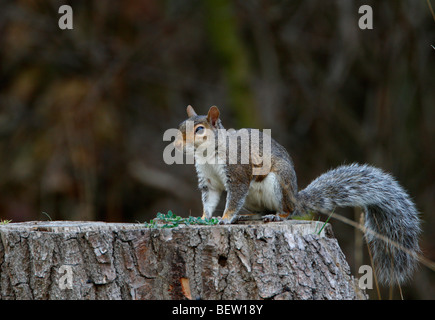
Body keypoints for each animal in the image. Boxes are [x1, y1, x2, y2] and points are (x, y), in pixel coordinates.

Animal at [175, 105, 422, 284]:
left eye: (199, 130)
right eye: (180, 126)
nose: (177, 145)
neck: (206, 154)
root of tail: (295, 196)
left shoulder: (238, 173)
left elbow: (233, 198)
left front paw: (225, 219)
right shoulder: (208, 182)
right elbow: (209, 201)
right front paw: (203, 218)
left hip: (278, 184)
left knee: (288, 210)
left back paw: (277, 216)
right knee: (262, 211)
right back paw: (251, 216)